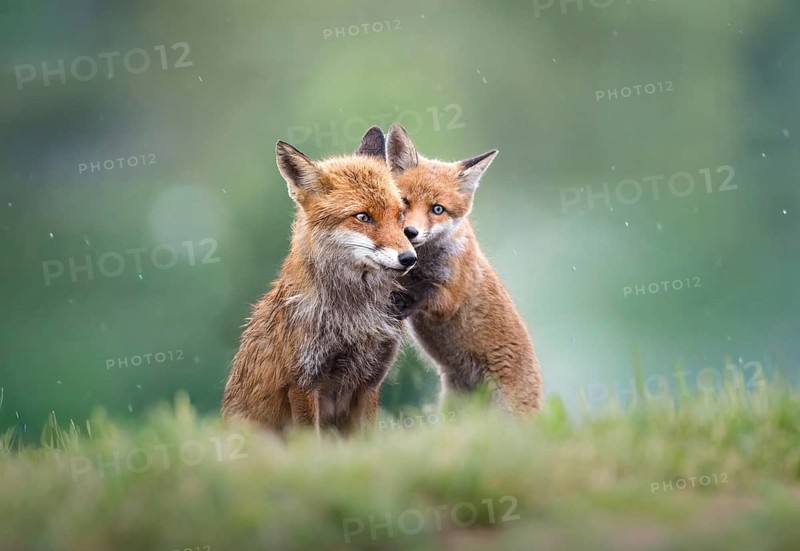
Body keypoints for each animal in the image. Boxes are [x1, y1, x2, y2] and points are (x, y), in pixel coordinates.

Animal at [221, 126, 417, 434]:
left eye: (399, 215)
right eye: (363, 217)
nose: (410, 258)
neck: (354, 317)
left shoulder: (370, 382)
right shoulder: (303, 382)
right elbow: (310, 439)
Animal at [385, 123, 542, 414]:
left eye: (437, 209)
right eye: (404, 201)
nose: (410, 232)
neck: (424, 261)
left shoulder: (450, 297)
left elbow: (427, 290)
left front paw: (409, 295)